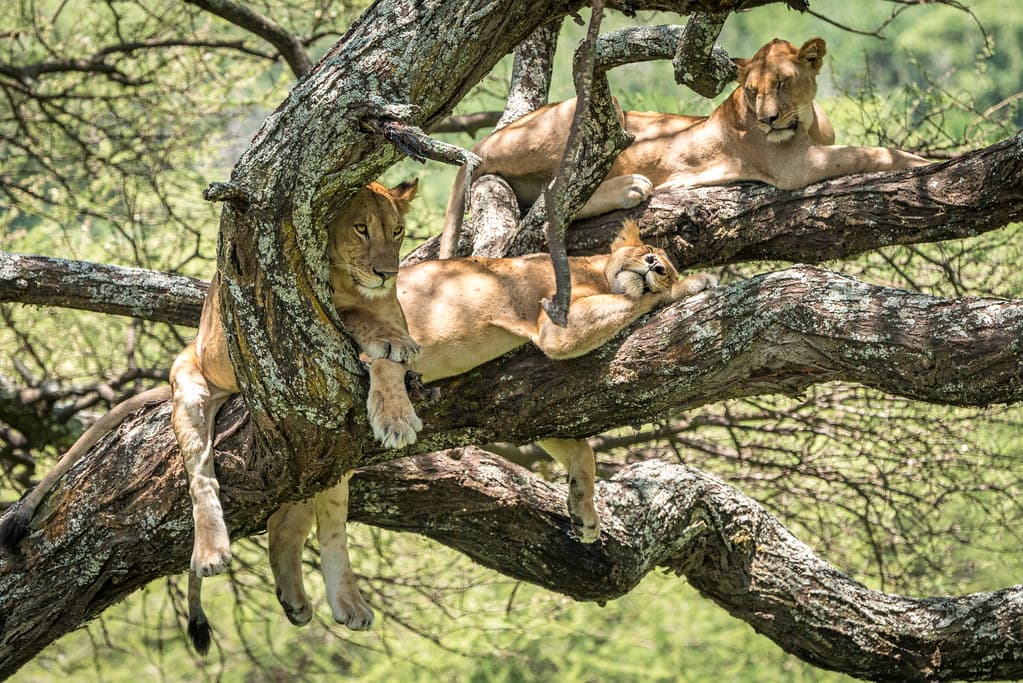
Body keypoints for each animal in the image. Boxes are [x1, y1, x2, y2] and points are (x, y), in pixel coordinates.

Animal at [0, 180, 421, 652]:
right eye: (361, 229)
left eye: (398, 231)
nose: (387, 273)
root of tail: (196, 346)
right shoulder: (310, 317)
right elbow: (357, 317)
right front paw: (386, 343)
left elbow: (391, 364)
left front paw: (396, 414)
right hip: (191, 390)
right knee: (202, 476)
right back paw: (211, 552)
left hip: (332, 452)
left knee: (326, 519)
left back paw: (341, 603)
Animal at [440, 37, 929, 258]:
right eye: (752, 91)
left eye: (782, 84)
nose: (768, 119)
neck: (806, 121)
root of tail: (486, 139)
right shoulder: (795, 166)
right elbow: (872, 153)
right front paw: (929, 161)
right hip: (599, 112)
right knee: (553, 198)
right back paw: (631, 187)